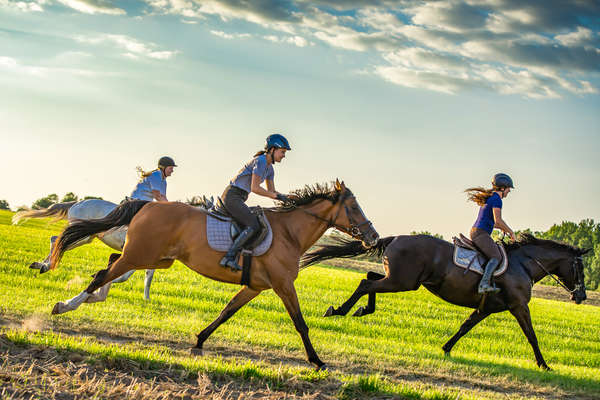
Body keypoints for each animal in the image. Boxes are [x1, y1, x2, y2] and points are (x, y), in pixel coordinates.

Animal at [12, 198, 155, 302]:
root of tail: (77, 203)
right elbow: (125, 275)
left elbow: (148, 277)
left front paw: (147, 299)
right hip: (82, 236)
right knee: (57, 241)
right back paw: (46, 266)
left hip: (84, 236)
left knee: (57, 242)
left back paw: (41, 265)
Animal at [48, 180, 380, 368]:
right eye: (354, 207)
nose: (373, 237)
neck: (289, 232)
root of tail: (146, 206)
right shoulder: (283, 285)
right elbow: (300, 323)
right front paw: (317, 360)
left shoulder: (255, 287)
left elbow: (226, 312)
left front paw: (199, 341)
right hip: (141, 254)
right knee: (103, 274)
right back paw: (65, 305)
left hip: (156, 257)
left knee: (111, 264)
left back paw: (87, 299)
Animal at [300, 233, 584, 370]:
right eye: (579, 267)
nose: (580, 296)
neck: (522, 265)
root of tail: (396, 238)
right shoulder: (518, 307)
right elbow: (532, 336)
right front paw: (544, 364)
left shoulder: (486, 309)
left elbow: (465, 326)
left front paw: (446, 348)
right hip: (403, 282)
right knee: (366, 284)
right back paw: (339, 310)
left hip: (399, 279)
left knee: (369, 277)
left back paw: (360, 310)